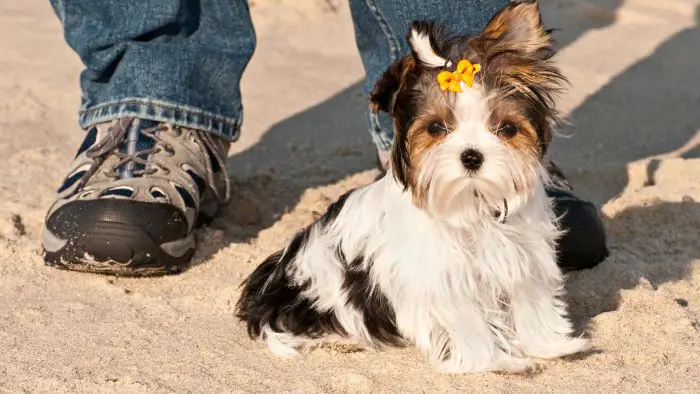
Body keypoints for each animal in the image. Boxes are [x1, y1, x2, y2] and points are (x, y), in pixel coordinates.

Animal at [237, 1, 592, 374]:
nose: (472, 156)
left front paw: (550, 346)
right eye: (436, 127)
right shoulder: (444, 281)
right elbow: (469, 324)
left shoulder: (523, 259)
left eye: (506, 128)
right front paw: (496, 361)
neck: (472, 202)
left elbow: (530, 304)